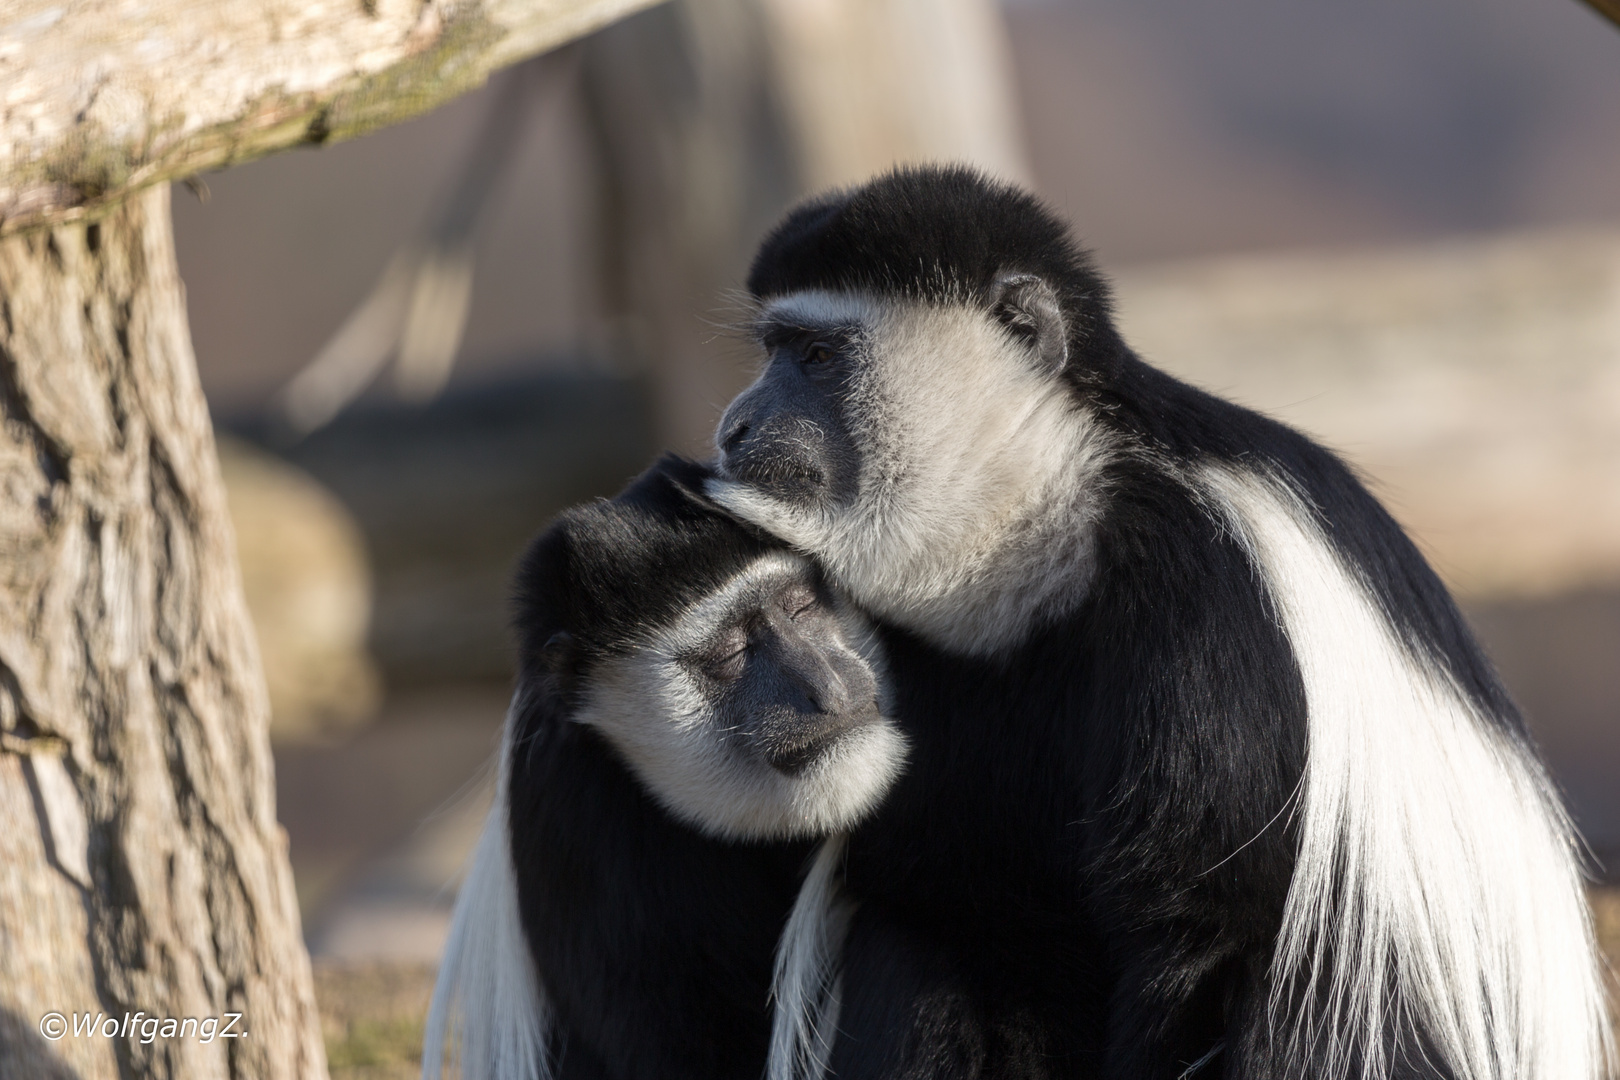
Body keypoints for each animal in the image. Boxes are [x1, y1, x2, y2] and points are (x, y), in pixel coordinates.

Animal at [716, 169, 1613, 1080]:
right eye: (773, 350)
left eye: (817, 357)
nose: (734, 427)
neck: (1054, 517)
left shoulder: (1211, 602)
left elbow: (1197, 921)